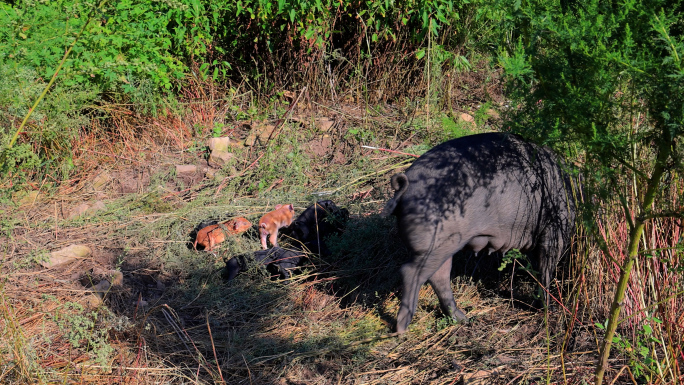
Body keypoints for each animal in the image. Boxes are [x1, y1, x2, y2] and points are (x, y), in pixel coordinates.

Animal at [382, 132, 576, 330]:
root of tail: (404, 188)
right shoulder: (555, 230)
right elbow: (545, 270)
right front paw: (548, 309)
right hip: (433, 244)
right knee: (410, 272)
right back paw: (402, 328)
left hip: (444, 246)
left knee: (439, 276)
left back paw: (462, 319)